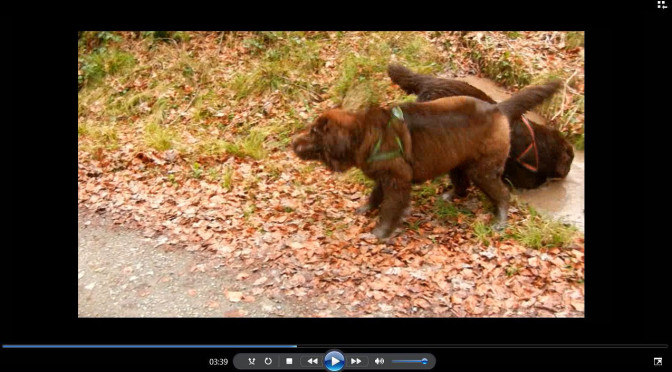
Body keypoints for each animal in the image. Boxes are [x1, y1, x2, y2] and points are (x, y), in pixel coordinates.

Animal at [292, 80, 560, 238]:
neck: (366, 135)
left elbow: (390, 208)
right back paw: (451, 195)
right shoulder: (386, 175)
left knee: (502, 193)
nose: (292, 143)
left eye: (314, 132)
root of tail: (498, 109)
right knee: (462, 183)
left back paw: (500, 219)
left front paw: (379, 233)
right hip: (458, 159)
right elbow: (375, 195)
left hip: (483, 168)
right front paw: (366, 209)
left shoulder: (397, 180)